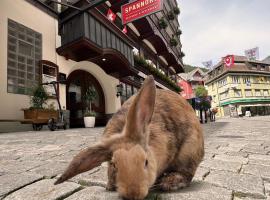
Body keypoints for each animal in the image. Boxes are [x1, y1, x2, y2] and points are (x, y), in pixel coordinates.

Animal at [54, 76, 202, 199]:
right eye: (114, 165)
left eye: (146, 162)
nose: (133, 194)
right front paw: (110, 186)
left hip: (189, 151)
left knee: (187, 173)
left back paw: (169, 182)